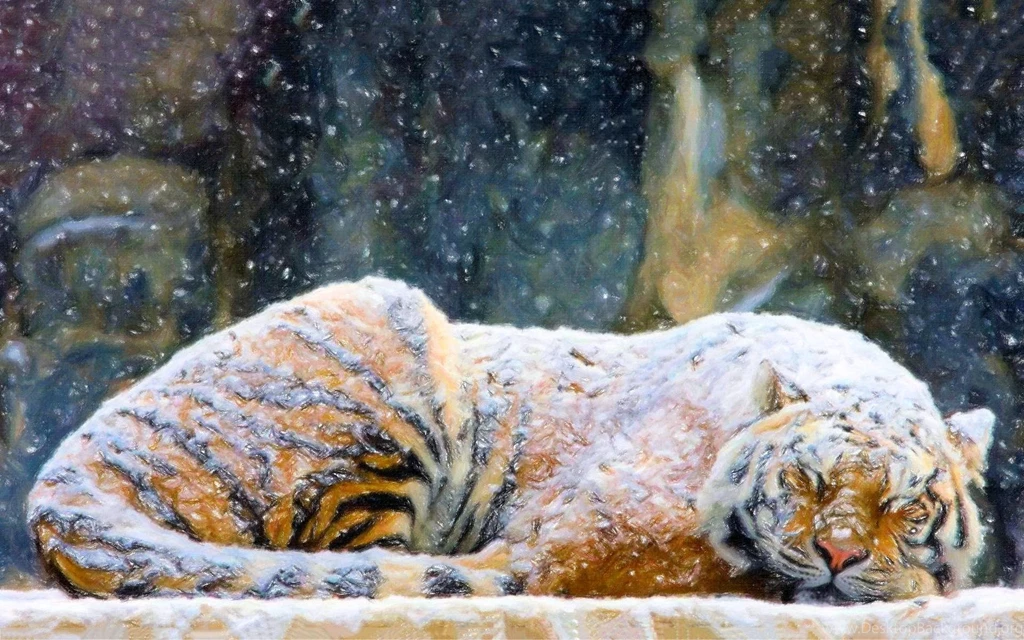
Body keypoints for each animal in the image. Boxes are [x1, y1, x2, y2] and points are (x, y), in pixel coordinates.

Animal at [26, 277, 994, 603]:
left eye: (904, 505)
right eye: (805, 484)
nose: (837, 555)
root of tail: (64, 471)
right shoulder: (578, 531)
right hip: (389, 340)